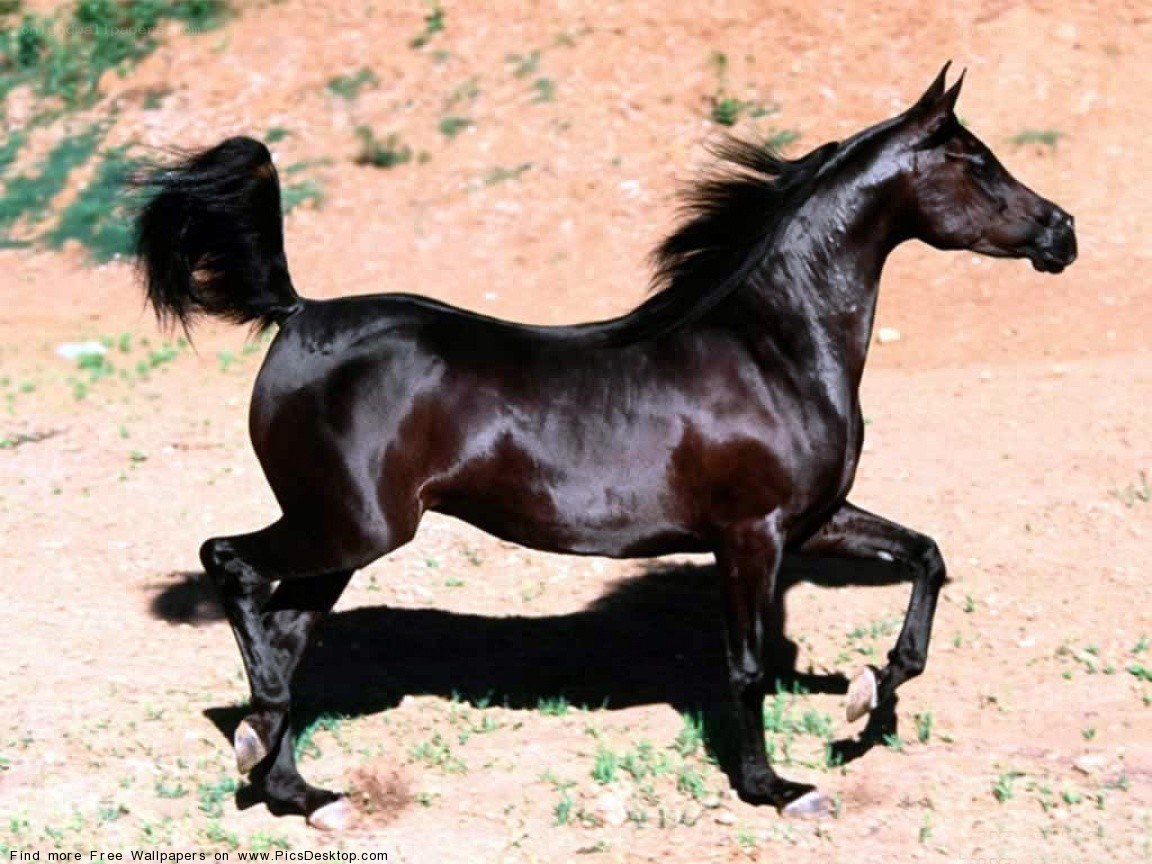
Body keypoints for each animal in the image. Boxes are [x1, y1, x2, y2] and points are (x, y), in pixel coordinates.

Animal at [135, 64, 1076, 830]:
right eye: (977, 162)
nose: (1062, 232)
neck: (772, 346)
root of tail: (298, 315)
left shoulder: (815, 519)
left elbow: (925, 556)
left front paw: (866, 697)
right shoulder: (752, 535)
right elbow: (747, 667)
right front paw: (777, 788)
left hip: (343, 540)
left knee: (287, 630)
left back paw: (299, 790)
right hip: (348, 526)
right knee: (231, 566)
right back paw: (259, 740)